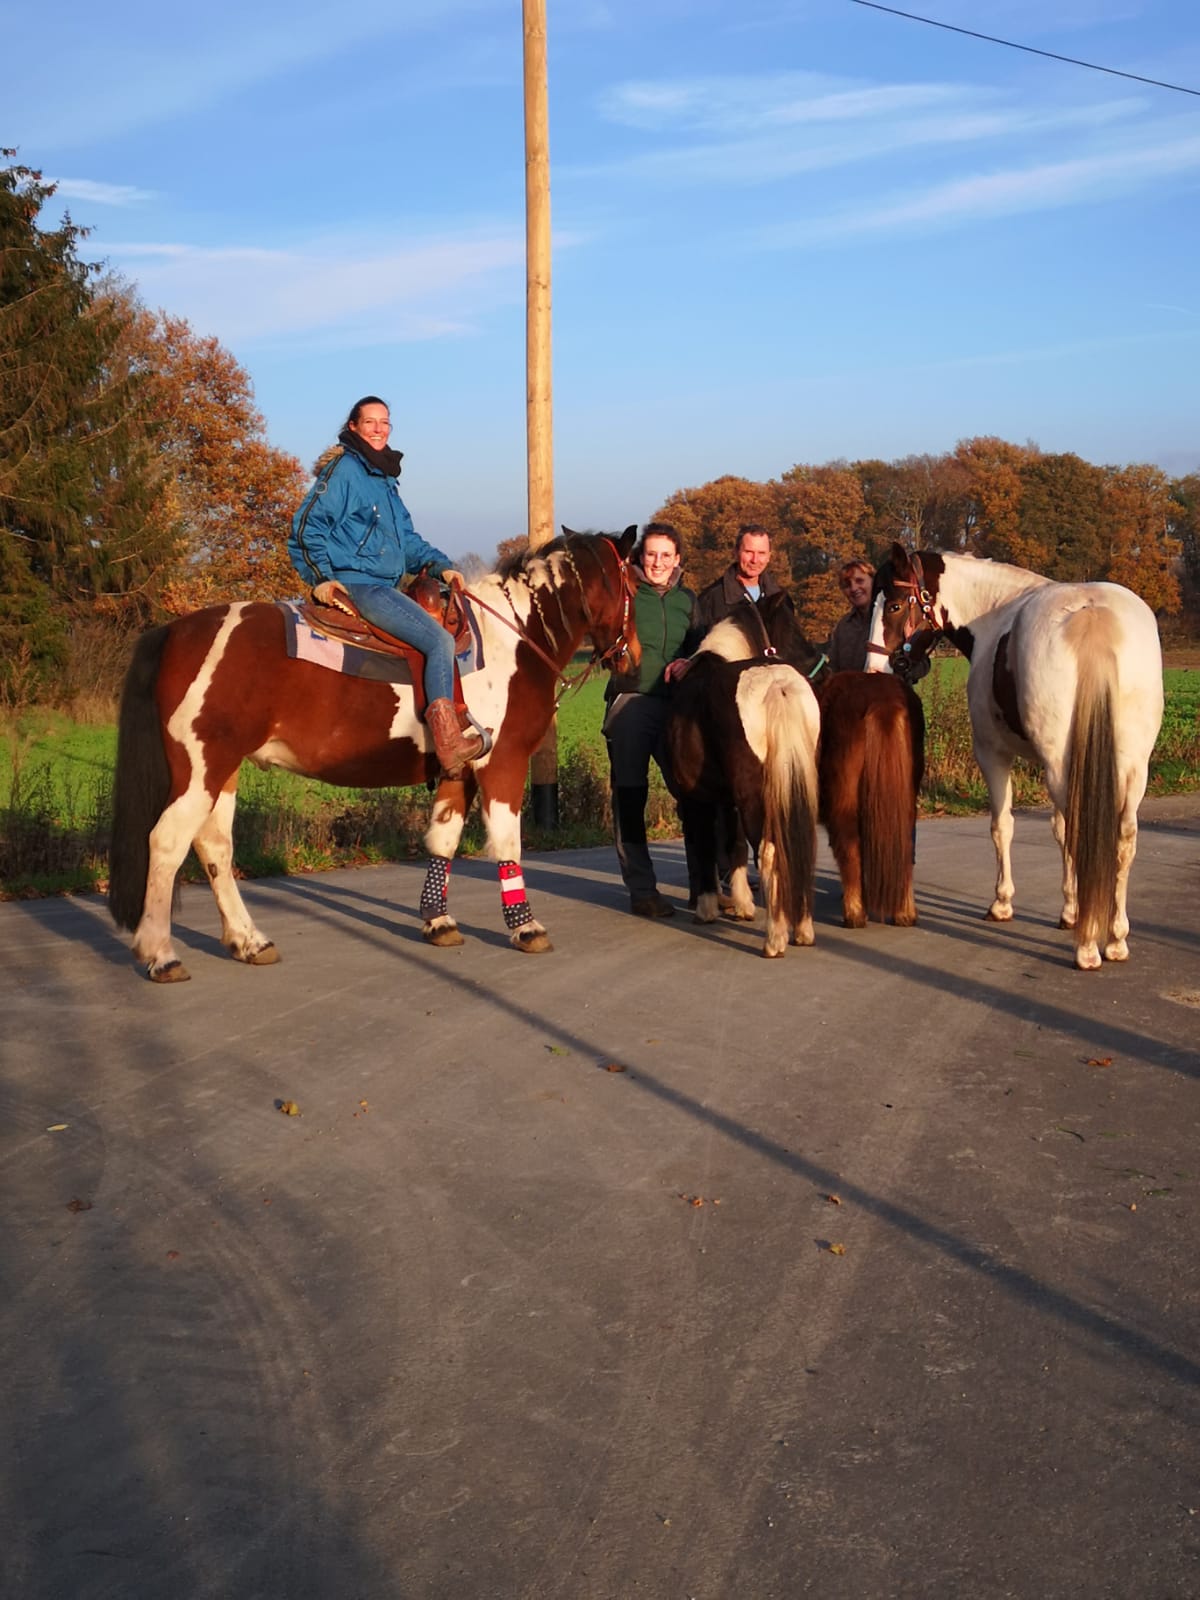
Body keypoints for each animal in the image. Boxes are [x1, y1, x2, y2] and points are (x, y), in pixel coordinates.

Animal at [108, 528, 643, 972]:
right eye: (633, 587)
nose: (633, 658)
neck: (514, 636)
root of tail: (176, 631)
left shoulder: (459, 770)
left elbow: (442, 840)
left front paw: (438, 922)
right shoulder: (503, 763)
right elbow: (507, 844)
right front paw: (526, 928)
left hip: (223, 770)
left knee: (214, 846)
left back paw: (248, 941)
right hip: (201, 769)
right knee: (167, 843)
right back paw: (160, 953)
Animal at [870, 544, 1171, 966]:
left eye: (895, 605)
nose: (875, 668)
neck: (996, 612)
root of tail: (1092, 615)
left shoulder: (994, 754)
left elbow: (1003, 827)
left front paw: (1002, 903)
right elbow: (1059, 830)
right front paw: (1070, 910)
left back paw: (1087, 948)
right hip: (1130, 768)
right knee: (1123, 837)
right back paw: (1114, 939)